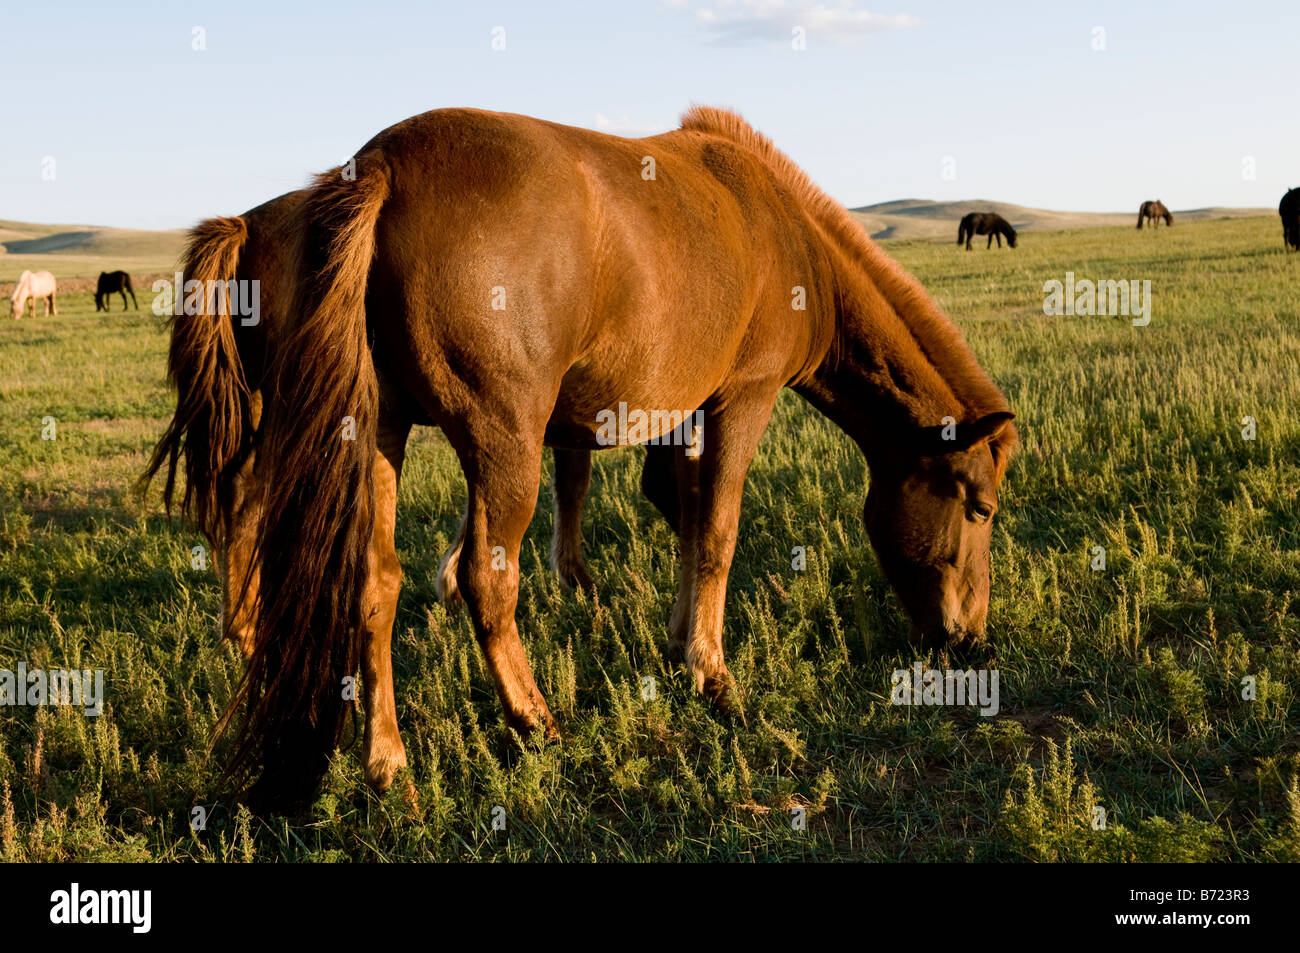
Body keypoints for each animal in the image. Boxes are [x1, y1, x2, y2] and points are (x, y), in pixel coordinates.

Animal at [152, 106, 1017, 808]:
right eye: (979, 507)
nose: (970, 637)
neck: (790, 240)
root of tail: (383, 171)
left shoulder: (683, 412)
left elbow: (684, 517)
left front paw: (678, 642)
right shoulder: (742, 398)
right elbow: (716, 532)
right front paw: (713, 674)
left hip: (373, 430)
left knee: (373, 581)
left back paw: (387, 760)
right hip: (501, 440)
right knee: (486, 578)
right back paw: (533, 718)